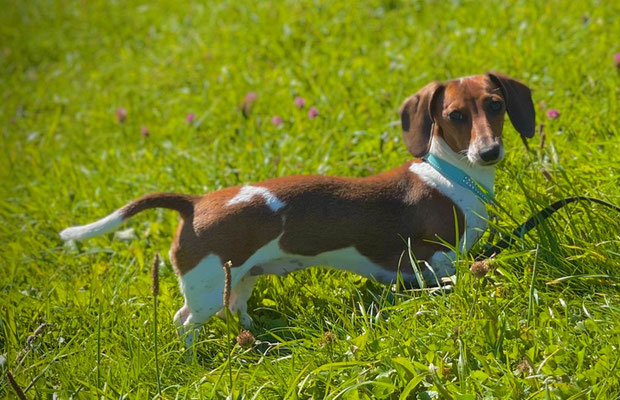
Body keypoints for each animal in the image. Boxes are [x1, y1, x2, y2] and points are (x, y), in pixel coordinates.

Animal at [60, 73, 532, 348]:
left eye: (495, 105)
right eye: (455, 115)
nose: (489, 152)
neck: (450, 175)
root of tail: (193, 204)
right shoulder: (435, 258)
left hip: (240, 277)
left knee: (236, 307)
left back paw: (256, 336)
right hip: (205, 287)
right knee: (184, 321)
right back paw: (193, 357)